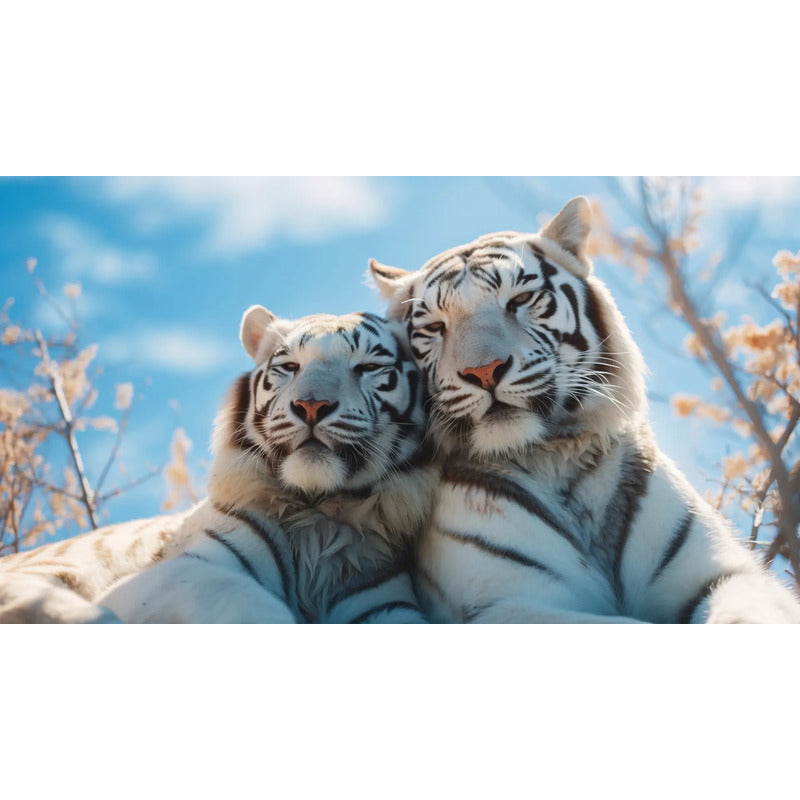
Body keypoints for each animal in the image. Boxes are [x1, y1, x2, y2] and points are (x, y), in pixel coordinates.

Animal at [0, 307, 434, 623]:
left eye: (368, 368)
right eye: (290, 366)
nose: (311, 406)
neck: (318, 517)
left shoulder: (384, 603)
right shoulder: (185, 571)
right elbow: (245, 600)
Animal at [369, 196, 800, 624]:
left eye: (519, 300)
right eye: (435, 327)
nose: (483, 371)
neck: (559, 460)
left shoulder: (720, 571)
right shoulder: (510, 600)